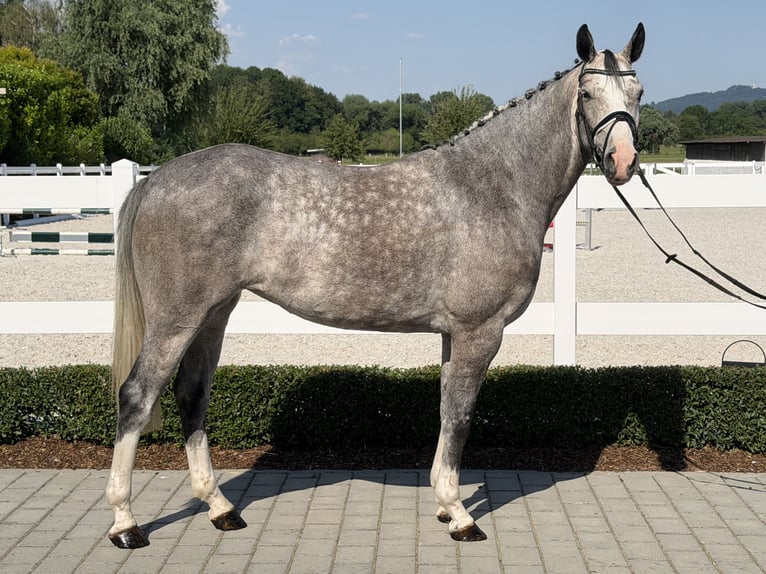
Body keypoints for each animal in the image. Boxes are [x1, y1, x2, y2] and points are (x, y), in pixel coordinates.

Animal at [106, 22, 646, 548]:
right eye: (588, 92)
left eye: (638, 92)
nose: (623, 161)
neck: (494, 187)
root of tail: (155, 180)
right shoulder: (480, 332)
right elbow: (461, 417)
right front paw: (460, 515)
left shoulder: (453, 335)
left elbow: (446, 410)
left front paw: (445, 506)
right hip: (177, 318)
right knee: (137, 396)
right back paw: (126, 523)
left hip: (214, 313)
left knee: (191, 395)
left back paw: (220, 508)